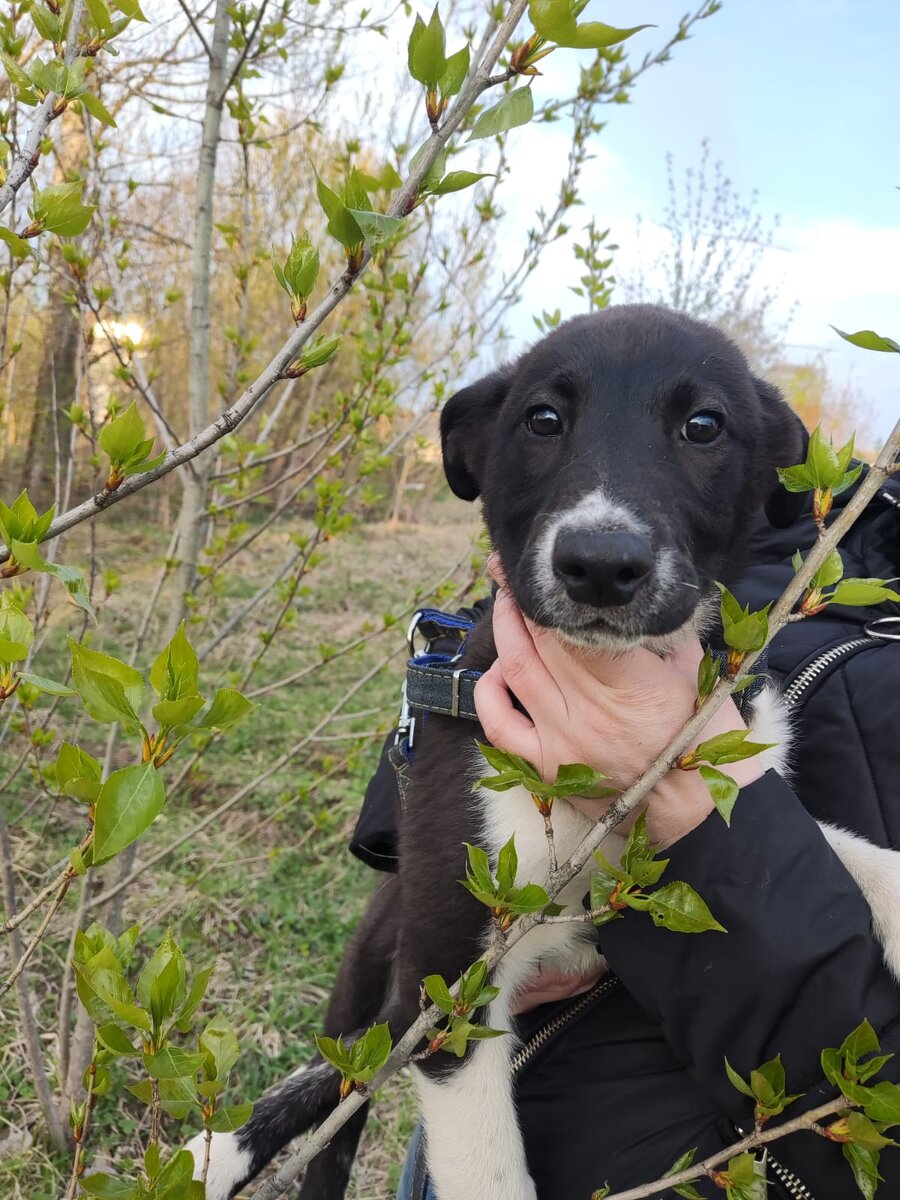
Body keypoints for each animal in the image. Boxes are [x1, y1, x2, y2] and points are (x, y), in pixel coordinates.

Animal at [192, 307, 900, 1200]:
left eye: (704, 426)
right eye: (542, 419)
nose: (599, 564)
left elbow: (838, 848)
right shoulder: (448, 970)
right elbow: (487, 1166)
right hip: (378, 962)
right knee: (343, 1082)